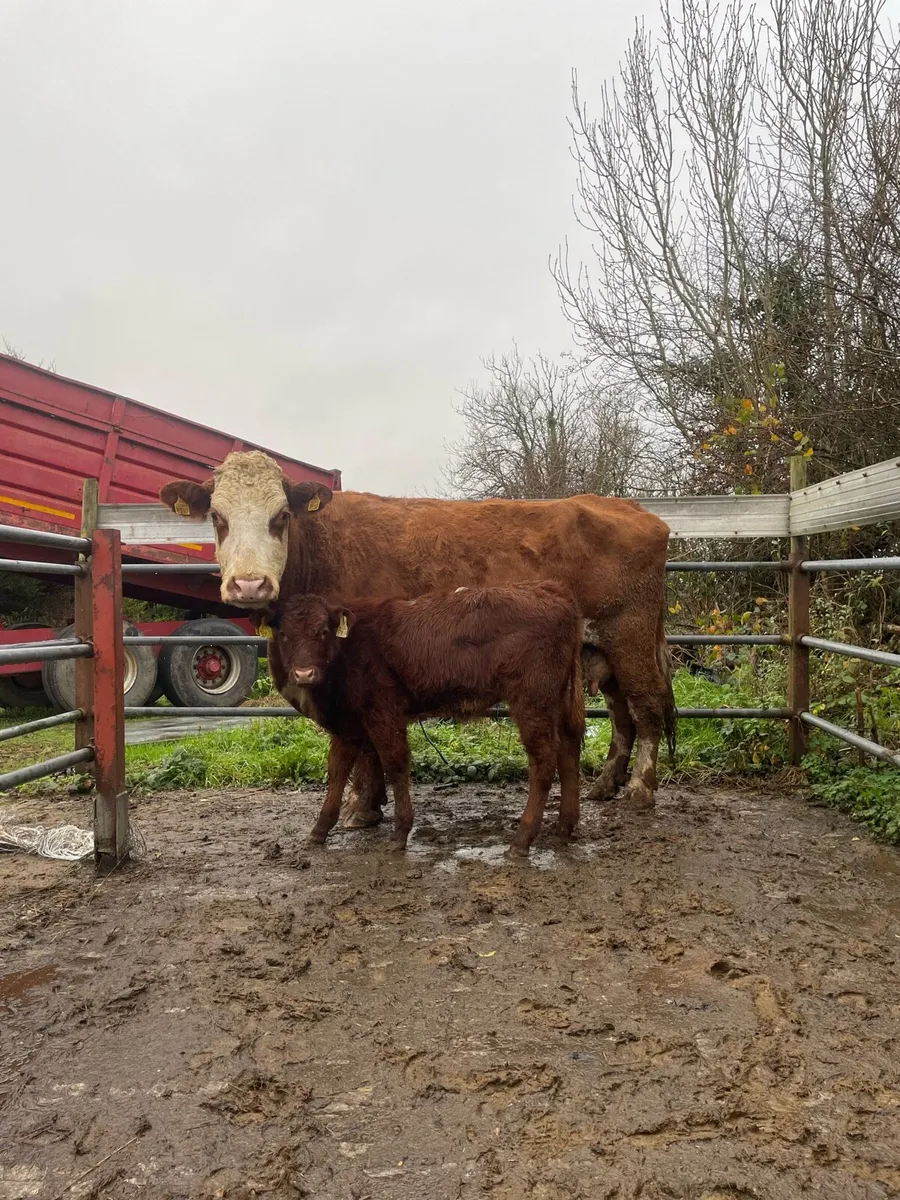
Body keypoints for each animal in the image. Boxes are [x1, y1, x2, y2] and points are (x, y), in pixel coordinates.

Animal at [160, 449, 675, 817]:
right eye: (218, 518)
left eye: (281, 516)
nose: (249, 583)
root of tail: (629, 507)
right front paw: (369, 803)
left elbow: (367, 746)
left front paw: (361, 808)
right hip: (600, 650)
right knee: (623, 714)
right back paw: (605, 784)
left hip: (629, 635)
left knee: (647, 707)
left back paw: (640, 790)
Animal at [261, 582, 585, 856]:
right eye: (284, 634)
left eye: (323, 631)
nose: (304, 673)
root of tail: (553, 592)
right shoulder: (347, 725)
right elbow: (337, 772)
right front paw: (319, 830)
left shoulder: (385, 713)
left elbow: (395, 765)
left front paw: (400, 833)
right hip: (559, 699)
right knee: (569, 749)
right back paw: (564, 828)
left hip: (533, 701)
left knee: (543, 762)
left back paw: (522, 839)